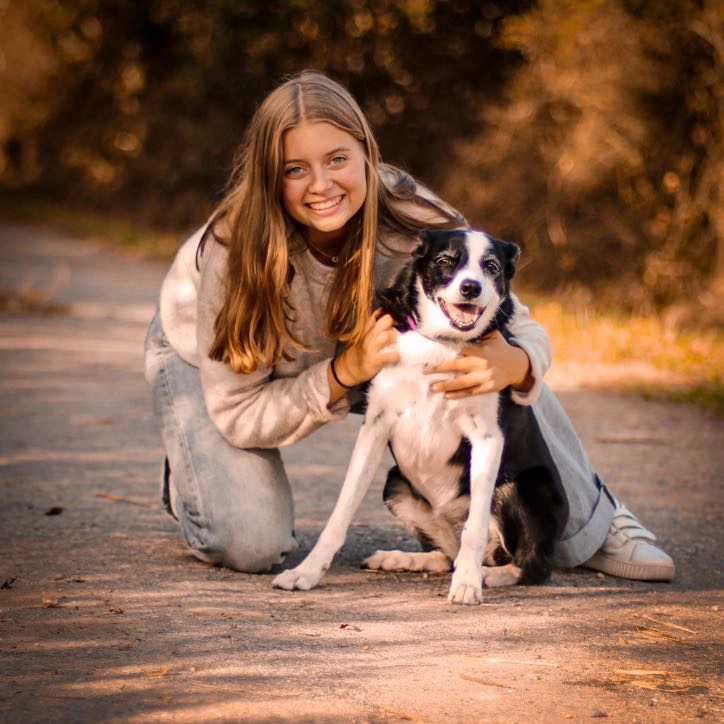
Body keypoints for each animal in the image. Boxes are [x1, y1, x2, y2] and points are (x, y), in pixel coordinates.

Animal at [273, 228, 568, 604]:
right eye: (445, 261)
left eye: (491, 266)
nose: (470, 287)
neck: (441, 343)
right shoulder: (376, 427)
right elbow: (341, 512)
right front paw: (306, 572)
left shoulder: (487, 437)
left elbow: (475, 527)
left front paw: (468, 583)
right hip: (395, 483)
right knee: (447, 555)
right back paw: (401, 558)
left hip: (521, 487)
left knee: (528, 566)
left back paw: (485, 574)